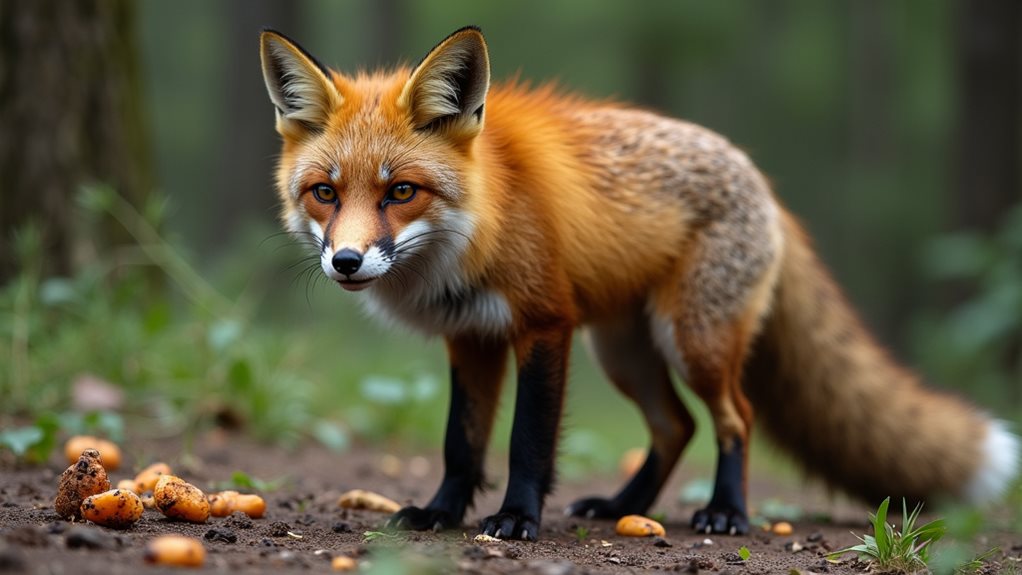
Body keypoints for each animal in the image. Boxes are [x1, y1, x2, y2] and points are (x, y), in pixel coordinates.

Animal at [259, 26, 1020, 540]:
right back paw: (624, 507)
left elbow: (527, 439)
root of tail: (764, 182)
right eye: (326, 193)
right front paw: (442, 513)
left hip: (693, 340)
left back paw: (726, 511)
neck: (484, 218)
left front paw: (517, 517)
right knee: (676, 424)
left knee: (734, 417)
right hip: (625, 351)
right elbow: (461, 442)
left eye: (401, 191)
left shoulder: (545, 323)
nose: (347, 261)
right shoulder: (470, 336)